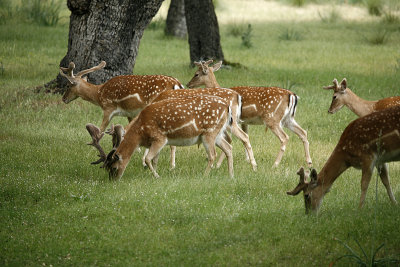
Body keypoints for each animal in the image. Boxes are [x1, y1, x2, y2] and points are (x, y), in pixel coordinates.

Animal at [85, 94, 233, 180]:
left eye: (114, 168)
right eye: (107, 169)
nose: (113, 181)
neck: (141, 133)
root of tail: (227, 107)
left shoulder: (160, 138)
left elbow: (148, 158)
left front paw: (157, 176)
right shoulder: (155, 142)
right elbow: (155, 160)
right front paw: (154, 174)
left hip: (209, 132)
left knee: (213, 154)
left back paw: (204, 175)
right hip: (218, 133)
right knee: (229, 148)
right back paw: (231, 176)